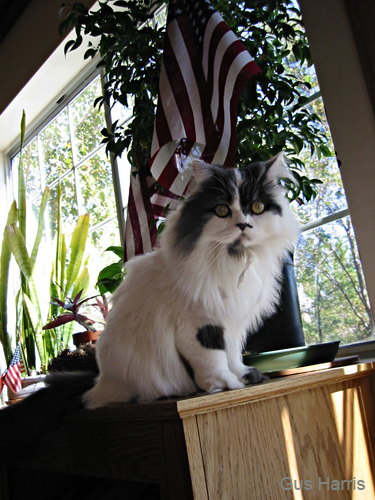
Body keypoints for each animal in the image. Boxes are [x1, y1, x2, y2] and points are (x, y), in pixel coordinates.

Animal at [83, 154, 302, 408]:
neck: (233, 259)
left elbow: (233, 354)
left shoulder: (232, 320)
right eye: (222, 210)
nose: (243, 225)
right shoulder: (198, 322)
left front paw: (243, 375)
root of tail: (104, 384)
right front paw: (224, 384)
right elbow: (213, 358)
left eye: (257, 207)